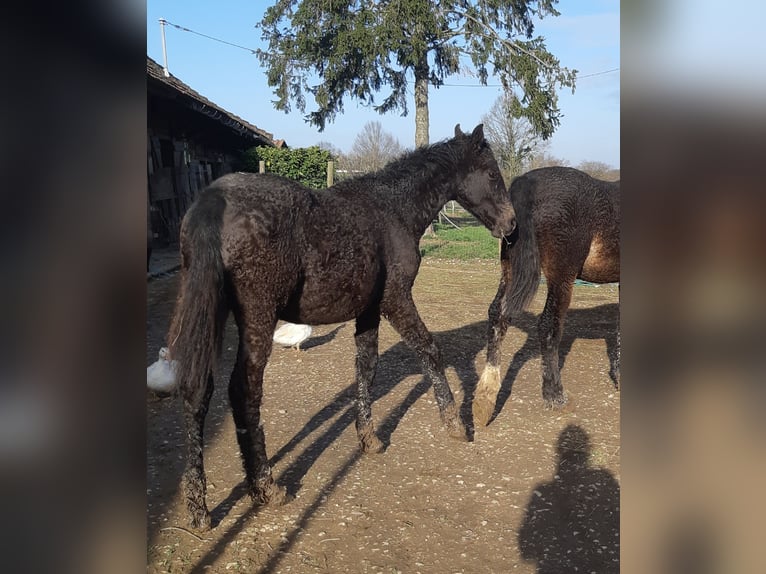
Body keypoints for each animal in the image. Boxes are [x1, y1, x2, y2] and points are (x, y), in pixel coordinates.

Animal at [168, 124, 516, 530]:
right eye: (491, 174)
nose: (511, 225)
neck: (392, 210)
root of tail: (213, 201)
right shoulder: (396, 300)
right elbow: (429, 349)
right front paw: (456, 425)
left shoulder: (368, 310)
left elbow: (367, 366)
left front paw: (369, 439)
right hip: (257, 316)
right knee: (243, 391)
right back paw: (266, 488)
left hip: (209, 311)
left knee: (198, 389)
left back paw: (199, 509)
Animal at [472, 166, 619, 426]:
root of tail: (528, 182)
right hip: (561, 278)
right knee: (548, 326)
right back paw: (555, 396)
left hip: (510, 269)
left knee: (497, 314)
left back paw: (485, 400)